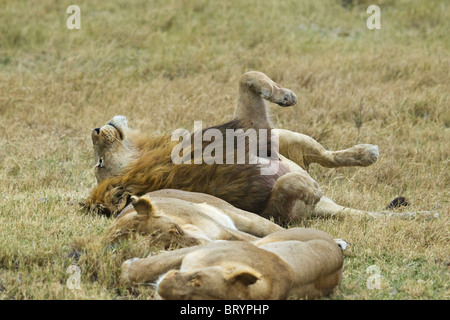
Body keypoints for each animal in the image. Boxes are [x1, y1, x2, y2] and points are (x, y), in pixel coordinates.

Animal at [84, 71, 426, 221]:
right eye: (101, 165)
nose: (95, 129)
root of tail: (328, 207)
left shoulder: (253, 129)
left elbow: (247, 75)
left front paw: (284, 95)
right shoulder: (269, 210)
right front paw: (308, 186)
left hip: (286, 136)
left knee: (326, 156)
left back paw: (365, 153)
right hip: (288, 204)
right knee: (302, 180)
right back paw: (316, 185)